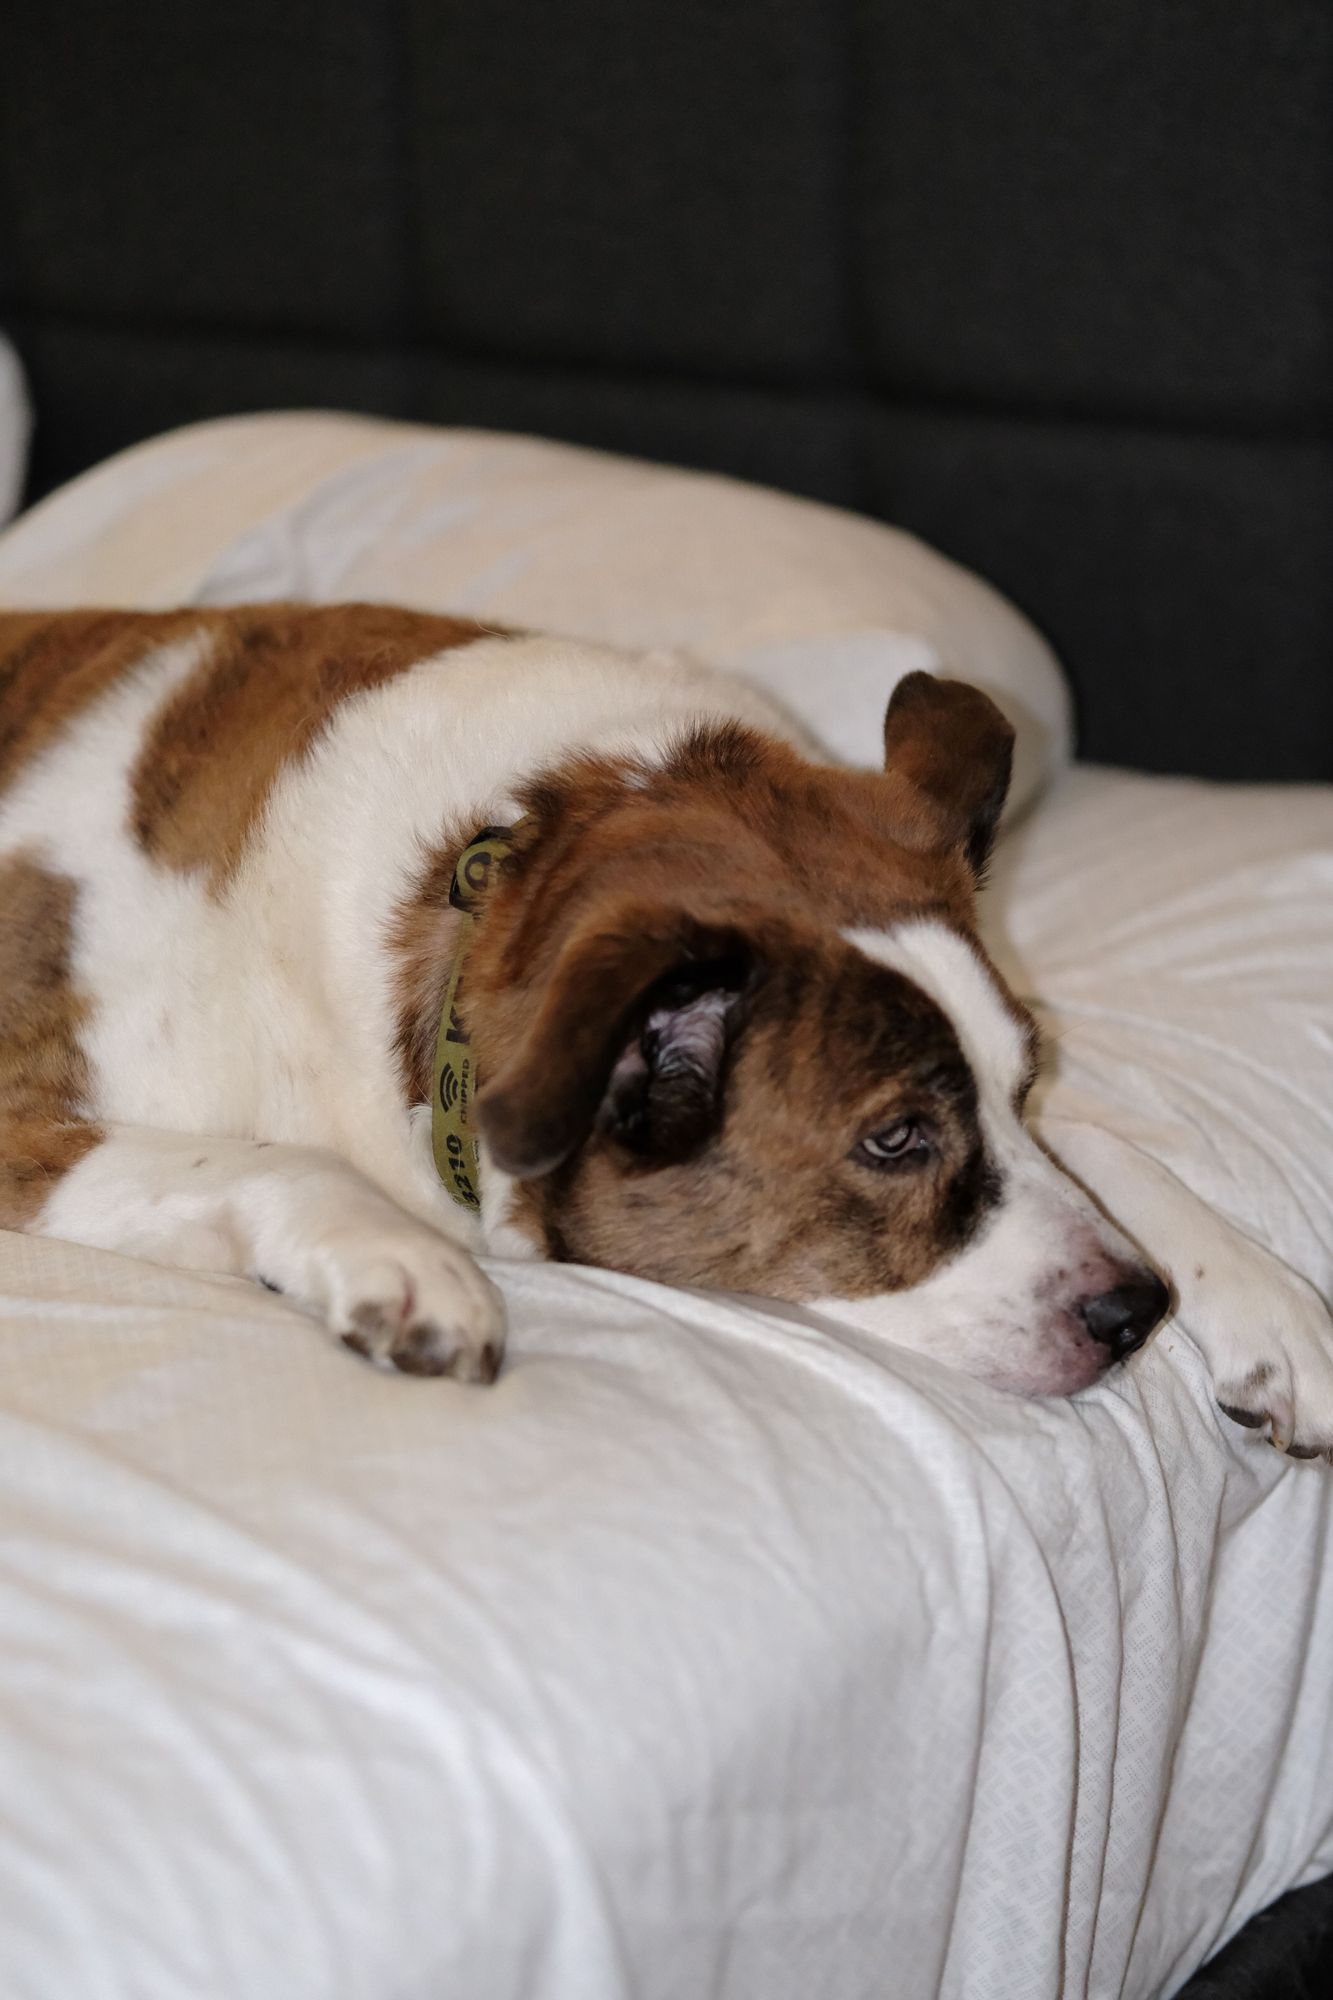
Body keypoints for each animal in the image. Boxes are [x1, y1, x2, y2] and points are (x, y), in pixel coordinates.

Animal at [0, 600, 1320, 1448]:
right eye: (892, 1141)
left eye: (1025, 1076)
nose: (1133, 1311)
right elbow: (280, 1161)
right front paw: (403, 1259)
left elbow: (1097, 1143)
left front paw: (1258, 1295)